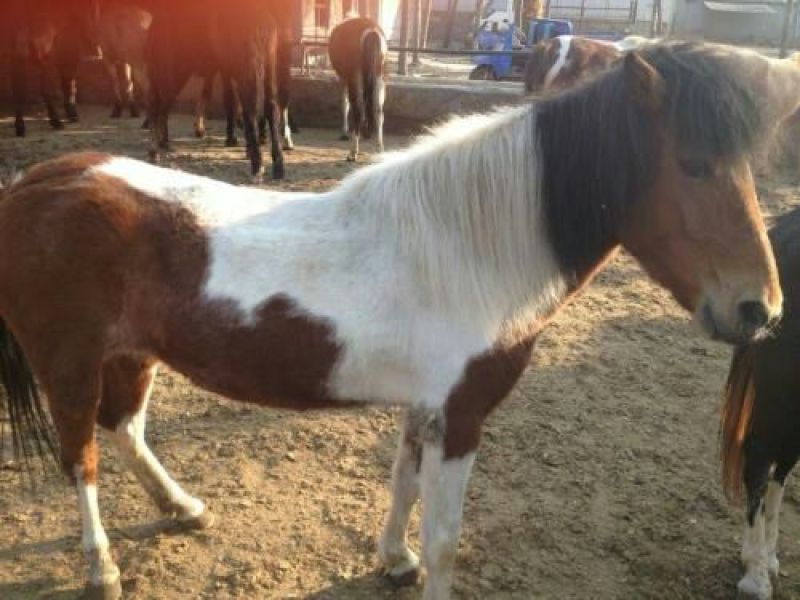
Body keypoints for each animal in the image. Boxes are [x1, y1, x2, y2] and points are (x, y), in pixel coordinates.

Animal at [0, 42, 796, 600]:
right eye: (692, 164)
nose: (760, 309)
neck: (466, 248)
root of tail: (39, 181)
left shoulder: (428, 408)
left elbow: (403, 485)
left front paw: (394, 560)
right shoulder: (462, 414)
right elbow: (446, 535)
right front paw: (418, 563)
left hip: (131, 355)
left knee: (125, 430)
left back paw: (183, 506)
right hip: (70, 365)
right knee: (82, 456)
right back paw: (102, 566)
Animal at [8, 0, 103, 137]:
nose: (96, 50)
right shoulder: (69, 57)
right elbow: (69, 83)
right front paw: (72, 114)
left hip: (19, 62)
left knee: (19, 91)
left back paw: (20, 127)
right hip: (45, 63)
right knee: (45, 90)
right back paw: (56, 122)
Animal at [146, 0, 285, 181]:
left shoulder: (252, 65)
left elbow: (248, 104)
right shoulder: (238, 67)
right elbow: (237, 103)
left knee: (161, 105)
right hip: (172, 73)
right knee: (158, 105)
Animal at [328, 17, 387, 161]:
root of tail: (371, 31)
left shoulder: (344, 78)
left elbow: (344, 104)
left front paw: (344, 132)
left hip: (355, 78)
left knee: (357, 111)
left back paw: (353, 152)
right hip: (378, 76)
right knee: (378, 110)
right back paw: (379, 148)